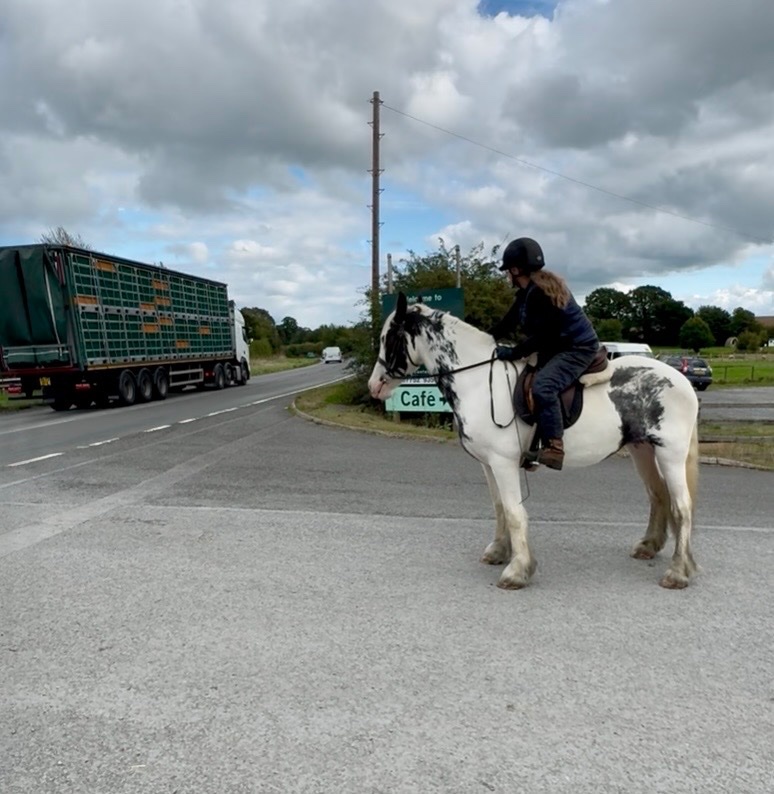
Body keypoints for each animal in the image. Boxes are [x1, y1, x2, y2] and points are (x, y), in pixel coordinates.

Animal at [368, 293, 701, 591]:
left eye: (390, 337)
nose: (374, 386)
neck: (478, 383)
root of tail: (682, 381)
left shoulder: (503, 463)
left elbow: (515, 514)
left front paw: (517, 571)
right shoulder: (489, 465)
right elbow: (500, 507)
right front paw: (498, 552)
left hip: (670, 454)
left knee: (682, 506)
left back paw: (677, 573)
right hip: (642, 450)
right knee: (658, 496)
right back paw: (649, 546)